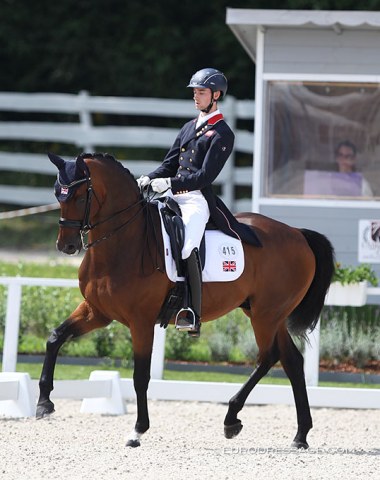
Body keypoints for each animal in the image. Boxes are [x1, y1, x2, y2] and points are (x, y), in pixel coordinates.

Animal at [36, 153, 332, 450]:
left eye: (79, 197)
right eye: (58, 194)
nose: (66, 246)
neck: (123, 243)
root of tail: (297, 233)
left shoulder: (141, 321)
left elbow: (140, 376)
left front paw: (137, 431)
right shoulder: (97, 312)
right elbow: (55, 338)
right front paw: (44, 403)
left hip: (266, 315)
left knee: (269, 356)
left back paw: (232, 419)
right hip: (267, 314)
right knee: (291, 361)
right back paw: (300, 435)